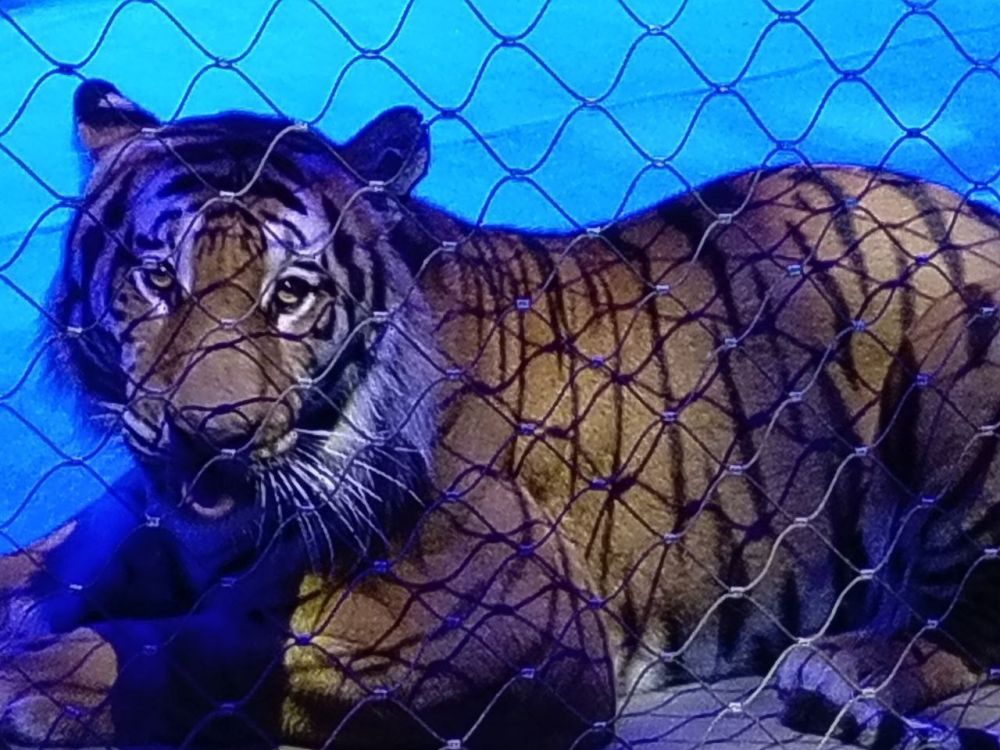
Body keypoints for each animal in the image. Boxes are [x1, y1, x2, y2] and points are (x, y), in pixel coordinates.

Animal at [0, 77, 998, 750]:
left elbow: (212, 647)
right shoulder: (147, 527)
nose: (210, 435)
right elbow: (55, 569)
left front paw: (37, 683)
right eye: (158, 280)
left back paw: (845, 674)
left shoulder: (506, 612)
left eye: (289, 294)